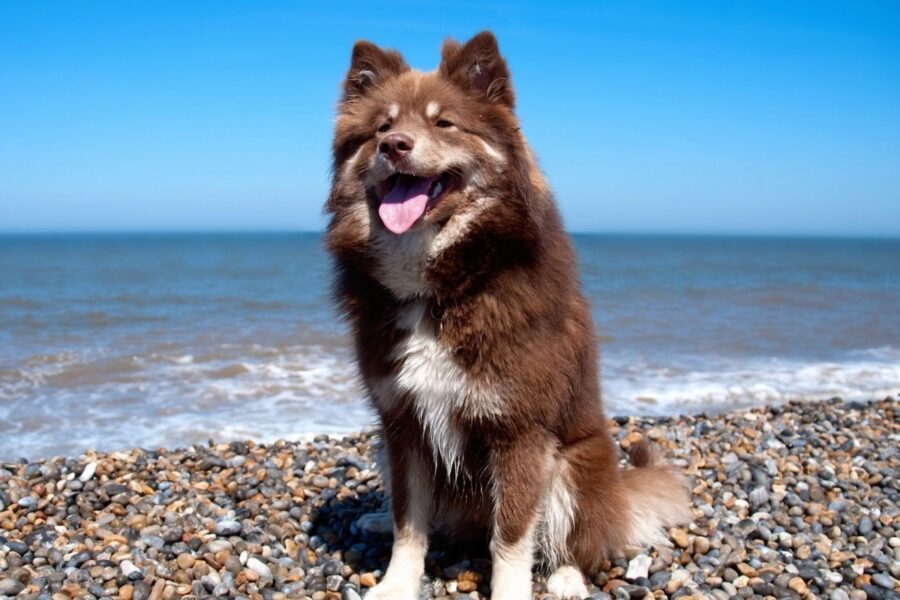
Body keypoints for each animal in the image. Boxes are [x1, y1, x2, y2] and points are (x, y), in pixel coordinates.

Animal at [324, 31, 688, 600]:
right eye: (382, 127)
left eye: (444, 124)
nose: (394, 146)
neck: (441, 289)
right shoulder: (403, 424)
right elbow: (410, 522)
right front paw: (396, 582)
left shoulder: (519, 432)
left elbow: (512, 537)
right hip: (383, 444)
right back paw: (378, 519)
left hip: (573, 468)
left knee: (582, 542)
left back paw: (567, 578)